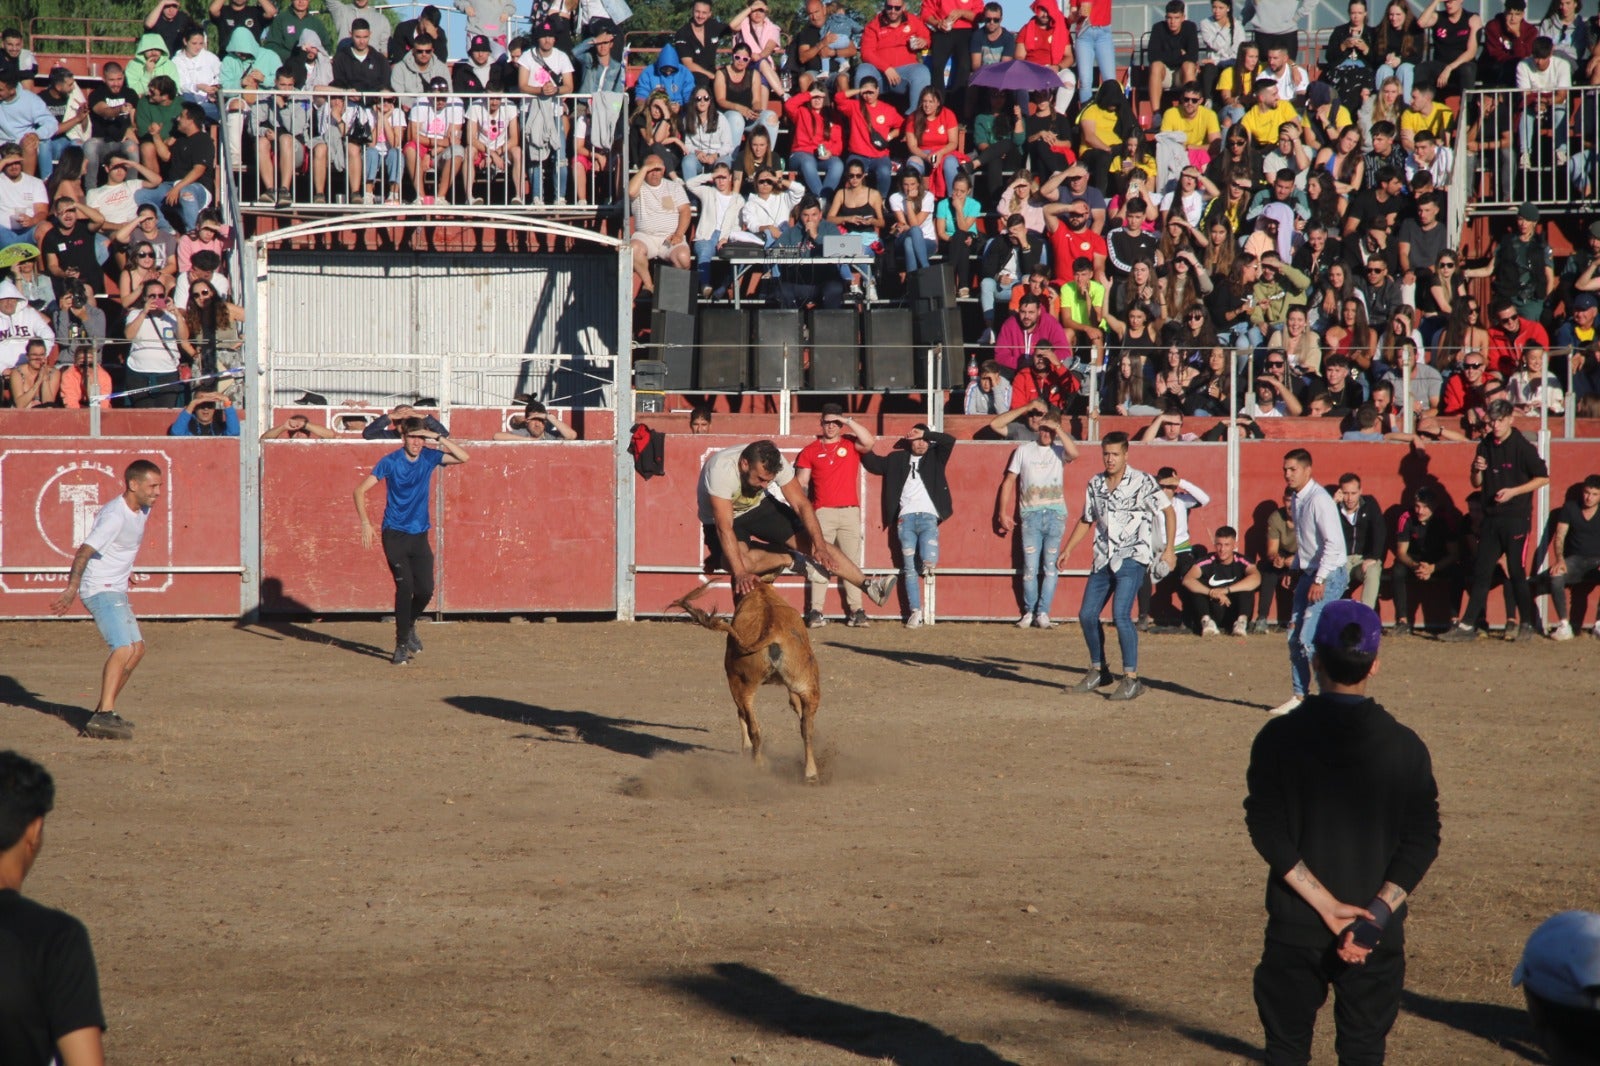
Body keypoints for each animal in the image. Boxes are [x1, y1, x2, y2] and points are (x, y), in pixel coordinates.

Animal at [672, 582, 825, 781]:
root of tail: (773, 630)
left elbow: (742, 715)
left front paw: (745, 749)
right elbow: (797, 709)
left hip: (740, 684)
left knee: (752, 724)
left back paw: (757, 763)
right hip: (807, 684)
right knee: (806, 728)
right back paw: (810, 773)